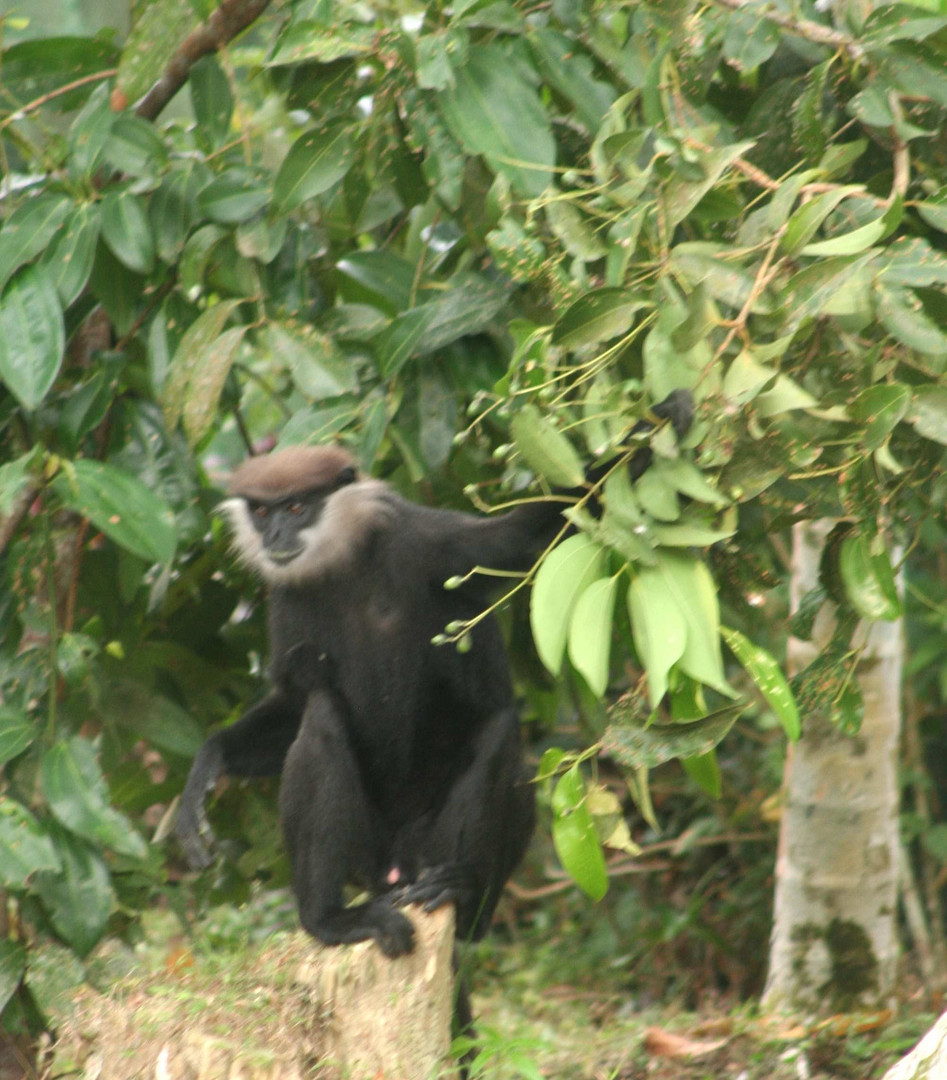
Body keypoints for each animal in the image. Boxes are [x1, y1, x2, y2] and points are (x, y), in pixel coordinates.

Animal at [177, 388, 691, 963]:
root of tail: (398, 867)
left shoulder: (424, 539)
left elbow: (533, 533)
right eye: (263, 511)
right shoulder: (286, 597)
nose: (276, 534)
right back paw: (329, 919)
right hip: (366, 851)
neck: (345, 560)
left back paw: (460, 897)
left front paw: (659, 423)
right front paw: (209, 764)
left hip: (431, 842)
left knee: (499, 731)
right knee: (323, 717)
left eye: (296, 506)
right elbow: (294, 703)